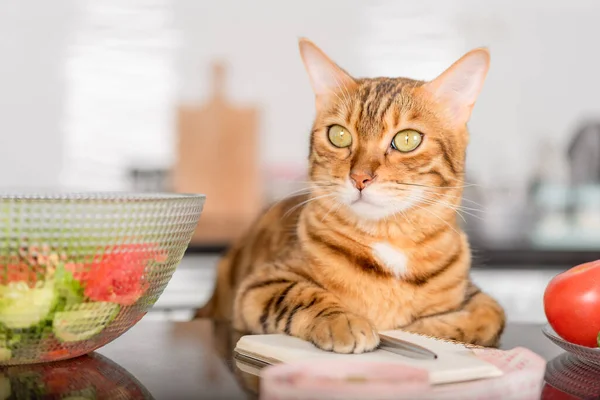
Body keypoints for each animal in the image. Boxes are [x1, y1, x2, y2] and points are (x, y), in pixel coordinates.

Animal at [195, 39, 504, 354]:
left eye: (407, 139)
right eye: (339, 135)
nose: (359, 178)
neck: (390, 240)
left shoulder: (474, 292)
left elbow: (492, 313)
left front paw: (422, 330)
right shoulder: (259, 285)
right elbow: (300, 293)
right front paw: (343, 320)